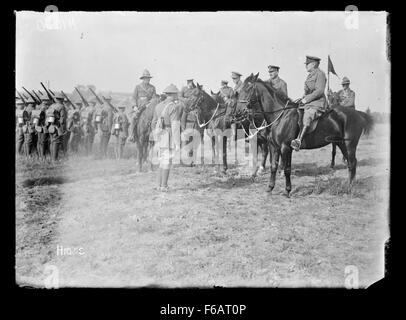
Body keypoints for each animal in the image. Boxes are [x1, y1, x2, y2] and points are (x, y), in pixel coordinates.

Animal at [235, 73, 374, 196]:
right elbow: (274, 166)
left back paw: (350, 188)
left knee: (353, 162)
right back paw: (348, 185)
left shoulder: (286, 148)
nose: (238, 113)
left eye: (248, 89)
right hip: (341, 144)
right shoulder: (274, 147)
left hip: (350, 144)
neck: (280, 115)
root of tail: (358, 114)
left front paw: (287, 190)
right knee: (351, 164)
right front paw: (270, 188)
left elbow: (287, 169)